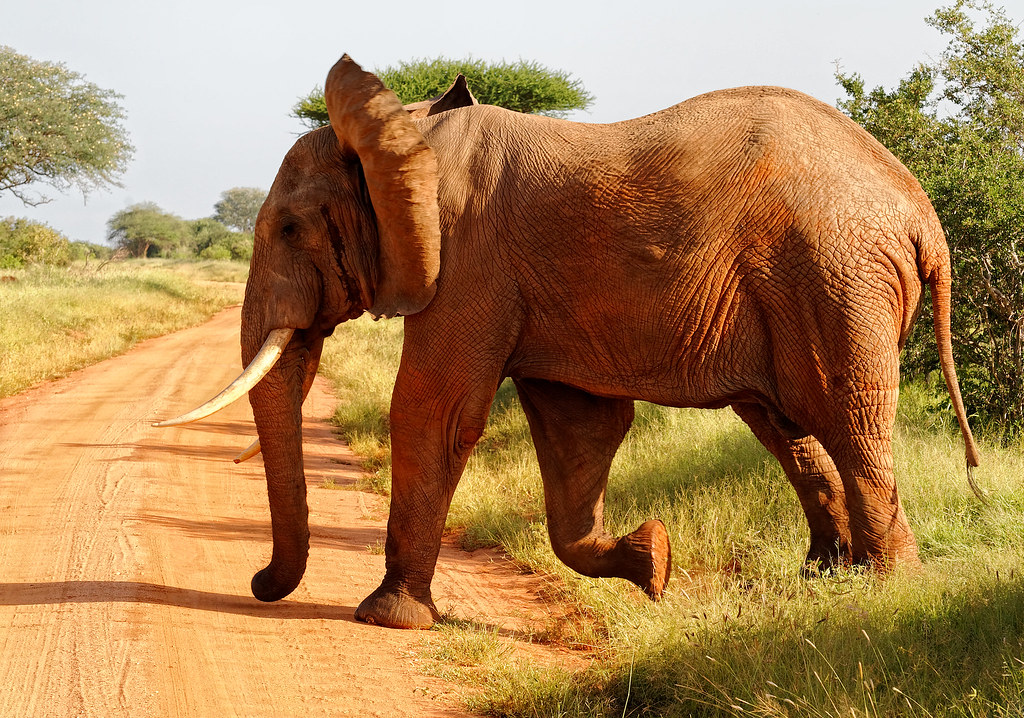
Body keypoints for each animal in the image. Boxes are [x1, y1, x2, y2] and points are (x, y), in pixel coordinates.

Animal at [155, 56, 978, 626]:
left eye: (291, 230)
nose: (259, 585)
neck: (403, 131)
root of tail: (922, 212)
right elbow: (578, 431)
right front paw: (654, 562)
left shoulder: (468, 260)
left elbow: (433, 410)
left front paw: (385, 617)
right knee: (788, 428)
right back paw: (825, 580)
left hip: (835, 278)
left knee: (846, 420)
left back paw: (887, 592)